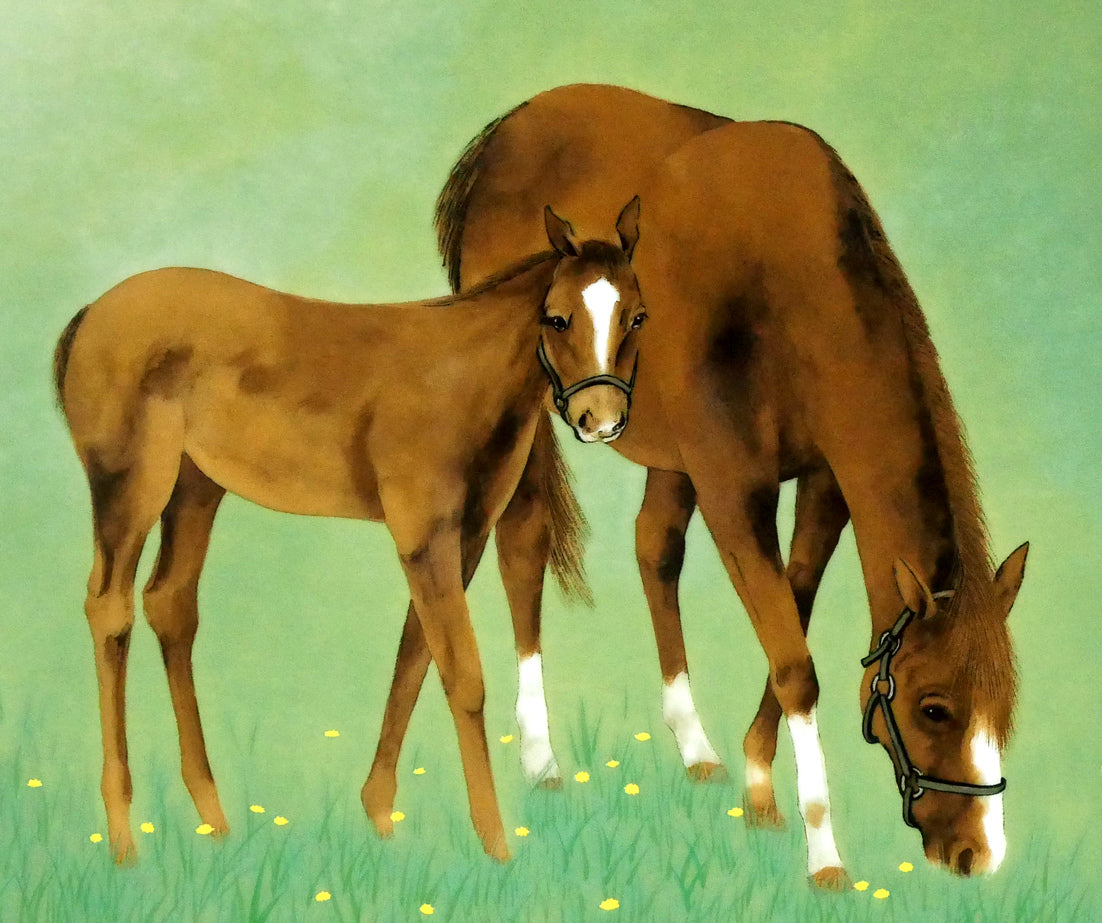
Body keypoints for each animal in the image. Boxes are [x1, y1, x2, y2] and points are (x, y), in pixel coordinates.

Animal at [53, 200, 644, 865]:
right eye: (558, 317)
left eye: (637, 317)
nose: (602, 420)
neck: (459, 376)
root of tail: (92, 313)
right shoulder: (424, 537)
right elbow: (462, 675)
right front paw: (496, 847)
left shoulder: (462, 540)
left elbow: (415, 656)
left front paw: (381, 814)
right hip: (130, 489)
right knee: (110, 610)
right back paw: (123, 838)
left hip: (196, 488)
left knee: (170, 604)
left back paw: (216, 822)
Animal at [371, 84, 1029, 887]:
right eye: (935, 707)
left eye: (1007, 701)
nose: (979, 852)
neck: (794, 286)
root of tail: (505, 129)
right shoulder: (732, 488)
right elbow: (794, 661)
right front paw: (823, 852)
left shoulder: (823, 486)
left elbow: (792, 612)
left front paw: (758, 786)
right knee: (524, 546)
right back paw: (542, 757)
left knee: (654, 548)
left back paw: (694, 744)